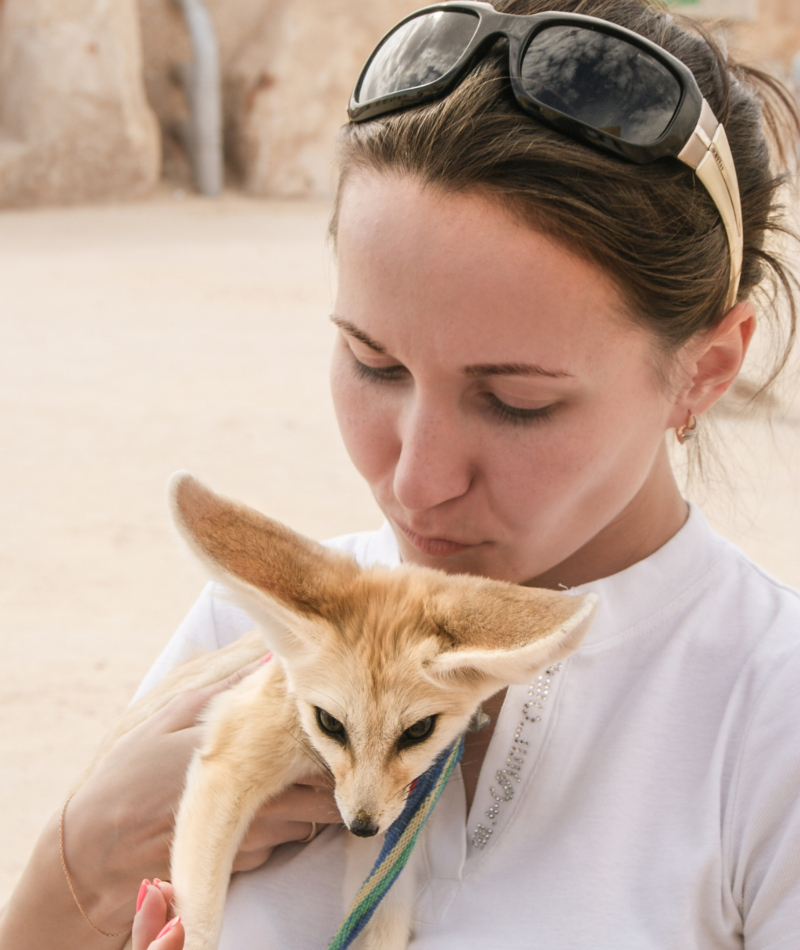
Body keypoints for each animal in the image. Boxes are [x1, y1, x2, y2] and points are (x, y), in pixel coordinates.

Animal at [90, 476, 596, 950]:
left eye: (419, 730)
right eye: (330, 723)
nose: (362, 827)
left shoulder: (393, 831)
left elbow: (380, 928)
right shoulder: (232, 757)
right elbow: (198, 928)